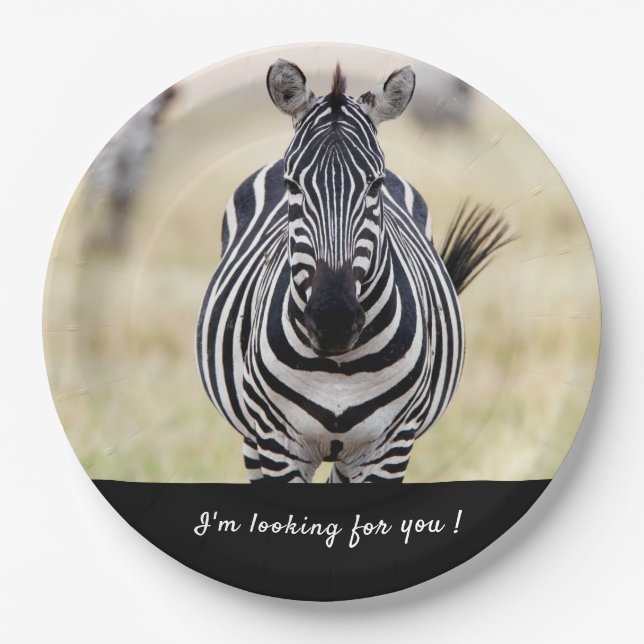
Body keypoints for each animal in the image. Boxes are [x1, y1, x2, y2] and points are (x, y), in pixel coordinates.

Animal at [197, 59, 512, 483]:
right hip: (253, 435)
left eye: (375, 185)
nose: (334, 322)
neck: (339, 370)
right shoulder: (277, 445)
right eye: (292, 186)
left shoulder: (389, 448)